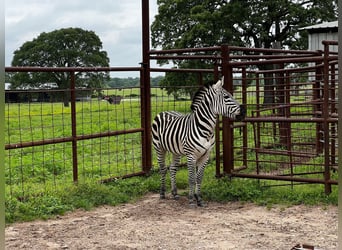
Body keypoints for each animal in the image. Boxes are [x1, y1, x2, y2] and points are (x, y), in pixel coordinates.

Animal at [151, 78, 244, 207]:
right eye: (226, 97)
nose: (244, 111)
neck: (206, 130)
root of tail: (164, 111)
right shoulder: (191, 156)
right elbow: (191, 178)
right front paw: (191, 200)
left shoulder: (206, 155)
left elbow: (199, 177)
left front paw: (199, 198)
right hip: (159, 148)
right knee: (163, 169)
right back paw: (162, 193)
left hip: (176, 151)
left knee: (173, 168)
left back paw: (175, 193)